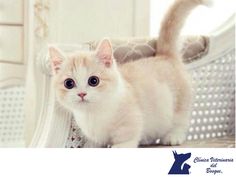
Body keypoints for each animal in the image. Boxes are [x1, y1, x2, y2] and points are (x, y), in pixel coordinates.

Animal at [49, 0, 208, 147]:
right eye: (69, 83)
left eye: (94, 81)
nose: (82, 94)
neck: (93, 113)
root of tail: (164, 55)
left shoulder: (131, 119)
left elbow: (127, 138)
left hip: (179, 102)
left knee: (181, 120)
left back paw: (174, 136)